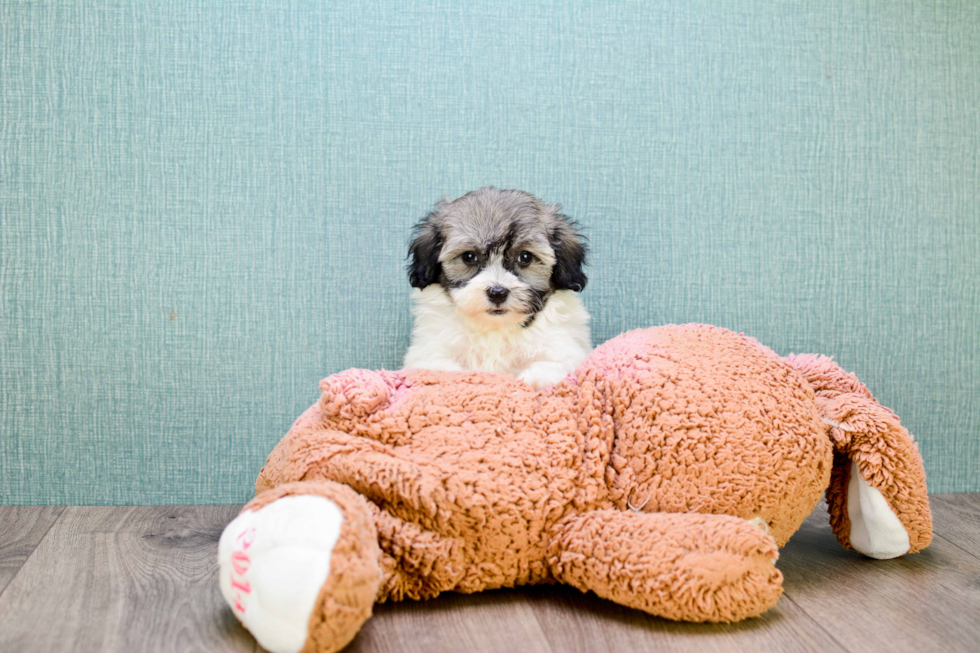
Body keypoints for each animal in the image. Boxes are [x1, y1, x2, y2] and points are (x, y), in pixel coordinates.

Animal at [404, 186, 592, 390]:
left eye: (525, 257)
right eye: (469, 257)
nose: (497, 293)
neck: (495, 328)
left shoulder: (563, 348)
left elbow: (554, 363)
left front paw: (536, 379)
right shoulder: (428, 351)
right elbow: (441, 369)